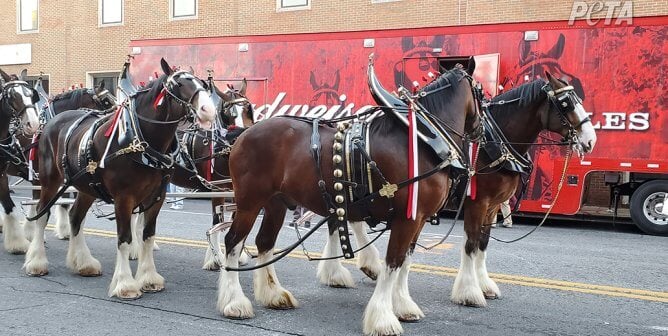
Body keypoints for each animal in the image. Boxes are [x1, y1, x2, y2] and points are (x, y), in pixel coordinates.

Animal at [22, 59, 217, 300]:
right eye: (178, 85)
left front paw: (148, 278)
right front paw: (126, 284)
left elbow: (147, 236)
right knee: (41, 214)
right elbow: (125, 238)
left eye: (202, 83)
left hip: (86, 187)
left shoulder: (157, 197)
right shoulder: (124, 198)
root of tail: (50, 124)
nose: (208, 110)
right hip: (49, 181)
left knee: (75, 217)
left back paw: (83, 263)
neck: (140, 140)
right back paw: (37, 262)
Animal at [217, 61, 482, 336]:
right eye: (481, 93)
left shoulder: (417, 219)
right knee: (232, 242)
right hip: (249, 203)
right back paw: (234, 302)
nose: (480, 132)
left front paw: (403, 305)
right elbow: (393, 262)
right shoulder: (406, 218)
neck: (422, 137)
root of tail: (244, 134)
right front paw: (383, 318)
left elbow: (405, 262)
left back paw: (273, 294)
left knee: (264, 242)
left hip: (275, 204)